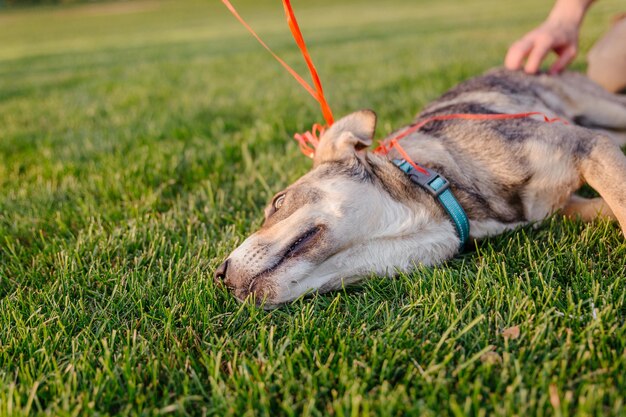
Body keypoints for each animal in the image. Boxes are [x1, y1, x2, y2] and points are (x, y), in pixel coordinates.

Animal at [214, 53, 624, 308]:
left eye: (278, 202)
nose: (218, 275)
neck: (440, 189)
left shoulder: (588, 146)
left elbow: (618, 198)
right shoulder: (565, 203)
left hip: (604, 110)